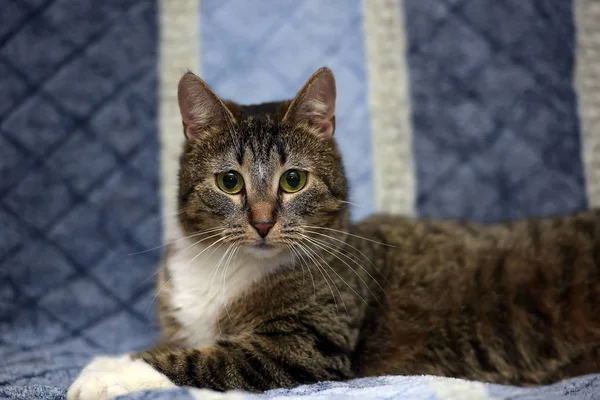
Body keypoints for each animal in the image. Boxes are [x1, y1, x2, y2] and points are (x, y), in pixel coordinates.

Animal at [65, 67, 600, 398]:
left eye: (293, 180)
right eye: (230, 182)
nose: (263, 221)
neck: (227, 267)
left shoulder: (308, 348)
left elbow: (203, 360)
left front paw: (109, 371)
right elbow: (175, 346)